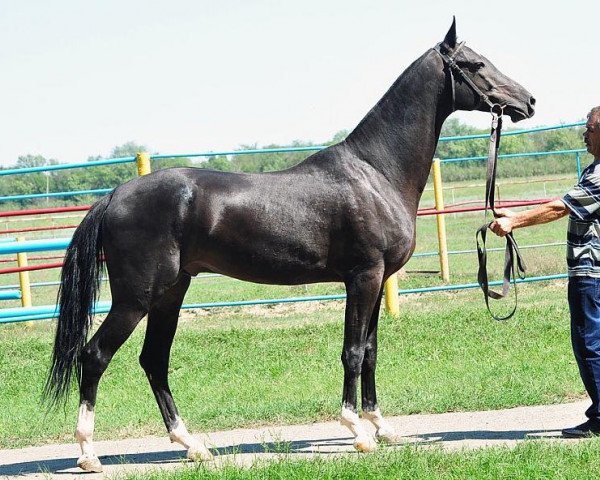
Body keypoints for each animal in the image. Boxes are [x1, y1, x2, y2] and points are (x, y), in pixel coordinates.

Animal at [45, 20, 536, 470]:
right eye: (475, 65)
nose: (528, 101)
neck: (376, 172)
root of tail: (114, 196)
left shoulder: (379, 281)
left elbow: (371, 352)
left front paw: (383, 427)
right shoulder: (363, 277)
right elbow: (352, 351)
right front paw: (357, 432)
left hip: (171, 293)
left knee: (154, 361)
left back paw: (193, 446)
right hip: (137, 297)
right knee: (95, 355)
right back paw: (88, 454)